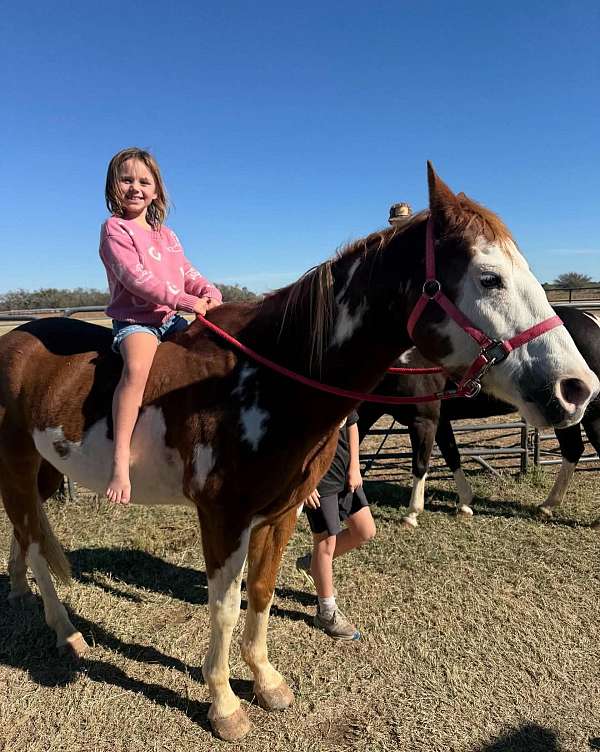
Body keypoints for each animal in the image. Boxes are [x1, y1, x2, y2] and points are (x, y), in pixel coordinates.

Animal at [358, 306, 600, 527]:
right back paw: (548, 506)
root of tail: (592, 320)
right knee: (573, 450)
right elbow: (452, 455)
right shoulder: (439, 421)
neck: (405, 363)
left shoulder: (424, 421)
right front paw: (465, 503)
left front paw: (412, 514)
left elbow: (420, 463)